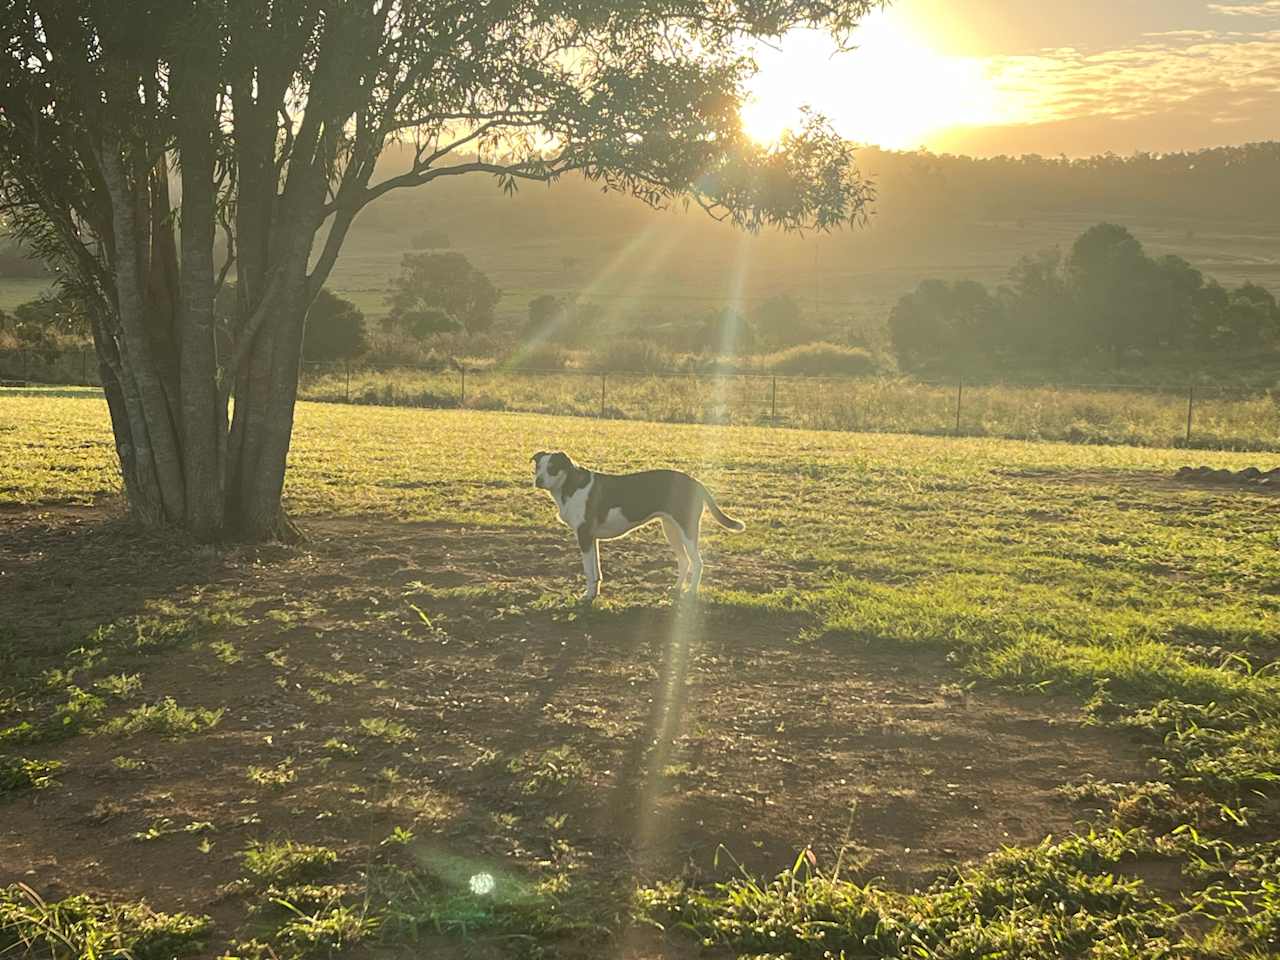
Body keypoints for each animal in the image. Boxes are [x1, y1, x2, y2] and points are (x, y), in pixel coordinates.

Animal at [532, 450, 747, 601]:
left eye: (552, 467)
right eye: (538, 467)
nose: (538, 480)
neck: (570, 485)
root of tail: (695, 482)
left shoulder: (584, 536)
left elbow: (588, 571)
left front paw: (587, 596)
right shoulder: (592, 538)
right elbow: (596, 572)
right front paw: (595, 594)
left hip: (687, 530)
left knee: (698, 563)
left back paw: (691, 592)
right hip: (671, 529)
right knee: (684, 561)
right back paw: (677, 588)